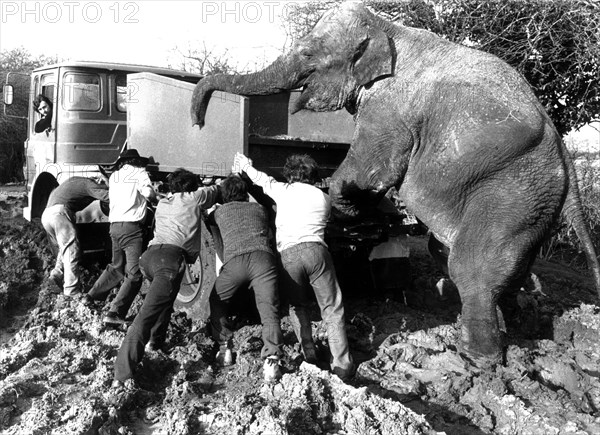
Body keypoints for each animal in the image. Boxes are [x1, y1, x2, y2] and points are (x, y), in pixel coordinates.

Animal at [192, 1, 600, 366]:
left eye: (307, 53)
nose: (197, 121)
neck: (385, 26)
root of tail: (567, 159)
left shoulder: (389, 110)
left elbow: (370, 170)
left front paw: (346, 210)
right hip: (531, 203)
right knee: (482, 261)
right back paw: (517, 334)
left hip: (512, 187)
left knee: (470, 266)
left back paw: (475, 359)